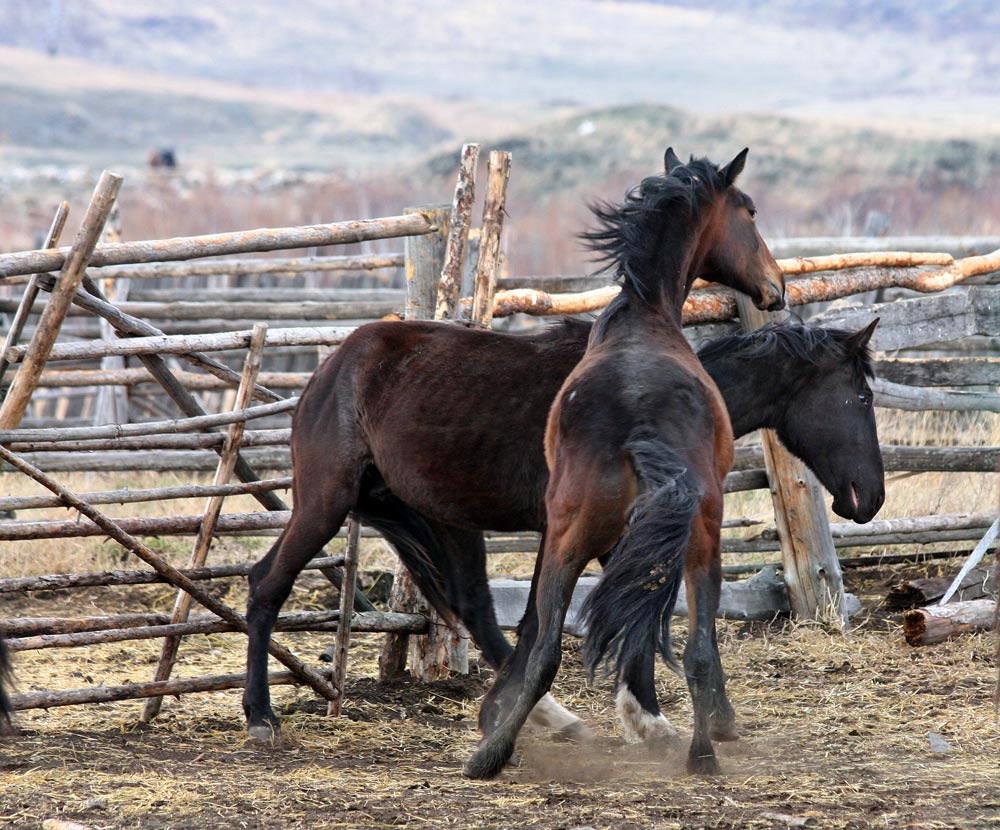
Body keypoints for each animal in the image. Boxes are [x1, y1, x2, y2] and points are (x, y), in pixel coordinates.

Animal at [462, 150, 788, 780]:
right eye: (750, 211)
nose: (777, 287)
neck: (644, 315)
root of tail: (639, 421)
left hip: (571, 538)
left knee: (547, 651)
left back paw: (491, 755)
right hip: (697, 542)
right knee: (694, 649)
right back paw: (702, 752)